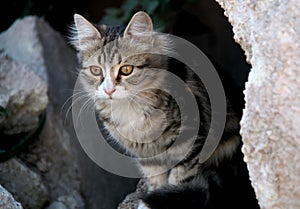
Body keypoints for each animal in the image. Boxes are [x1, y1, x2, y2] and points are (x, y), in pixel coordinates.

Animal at [70, 11, 258, 209]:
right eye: (96, 71)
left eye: (126, 69)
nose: (108, 90)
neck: (131, 109)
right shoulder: (146, 152)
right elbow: (155, 178)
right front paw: (152, 199)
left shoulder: (189, 139)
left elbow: (180, 178)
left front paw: (170, 197)